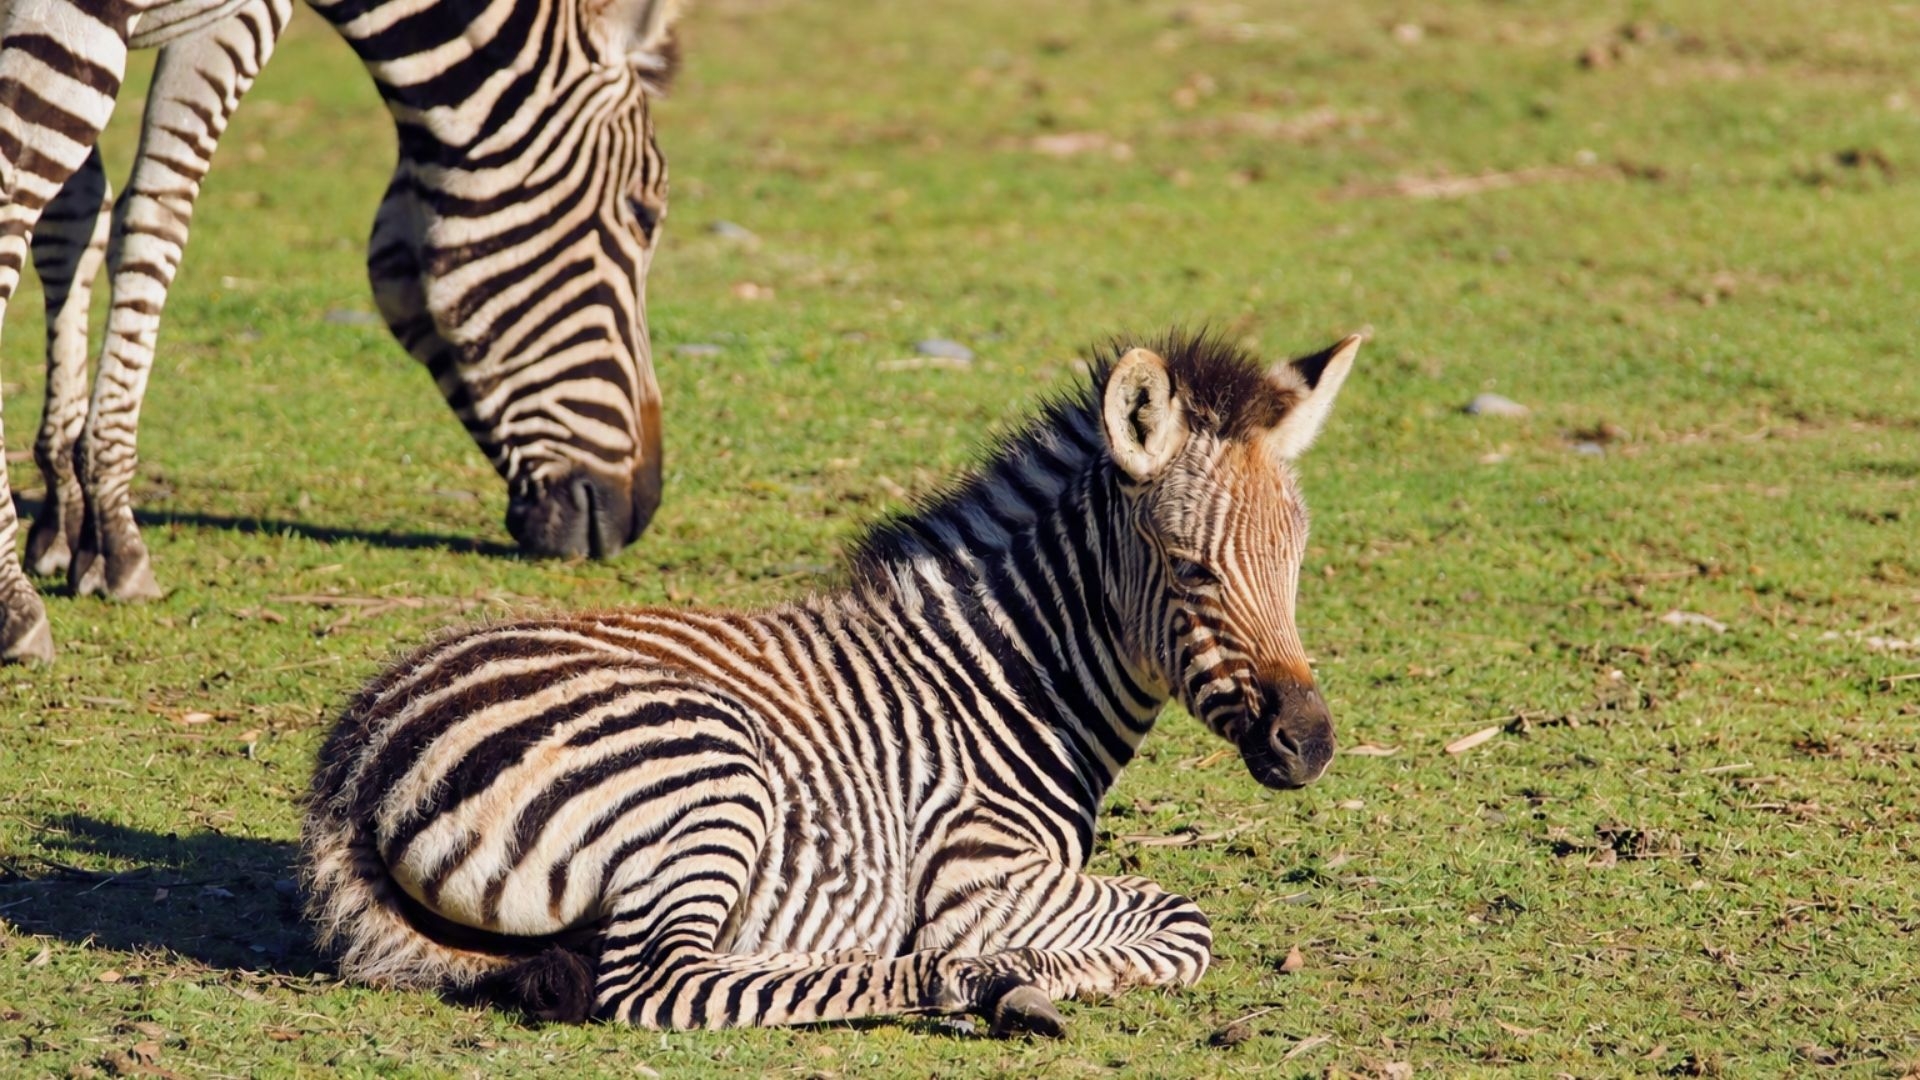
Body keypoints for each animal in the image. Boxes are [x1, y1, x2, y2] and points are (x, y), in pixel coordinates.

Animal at [0, 0, 686, 663]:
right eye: (643, 213)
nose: (641, 509)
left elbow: (77, 220)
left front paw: (65, 509)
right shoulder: (223, 20)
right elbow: (155, 217)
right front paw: (111, 532)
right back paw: (16, 609)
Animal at [301, 329, 1363, 1034]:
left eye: (1298, 563)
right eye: (1191, 570)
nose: (1310, 746)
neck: (1011, 675)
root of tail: (352, 765)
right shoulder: (977, 874)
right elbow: (1185, 922)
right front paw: (1023, 967)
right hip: (706, 772)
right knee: (658, 985)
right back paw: (970, 980)